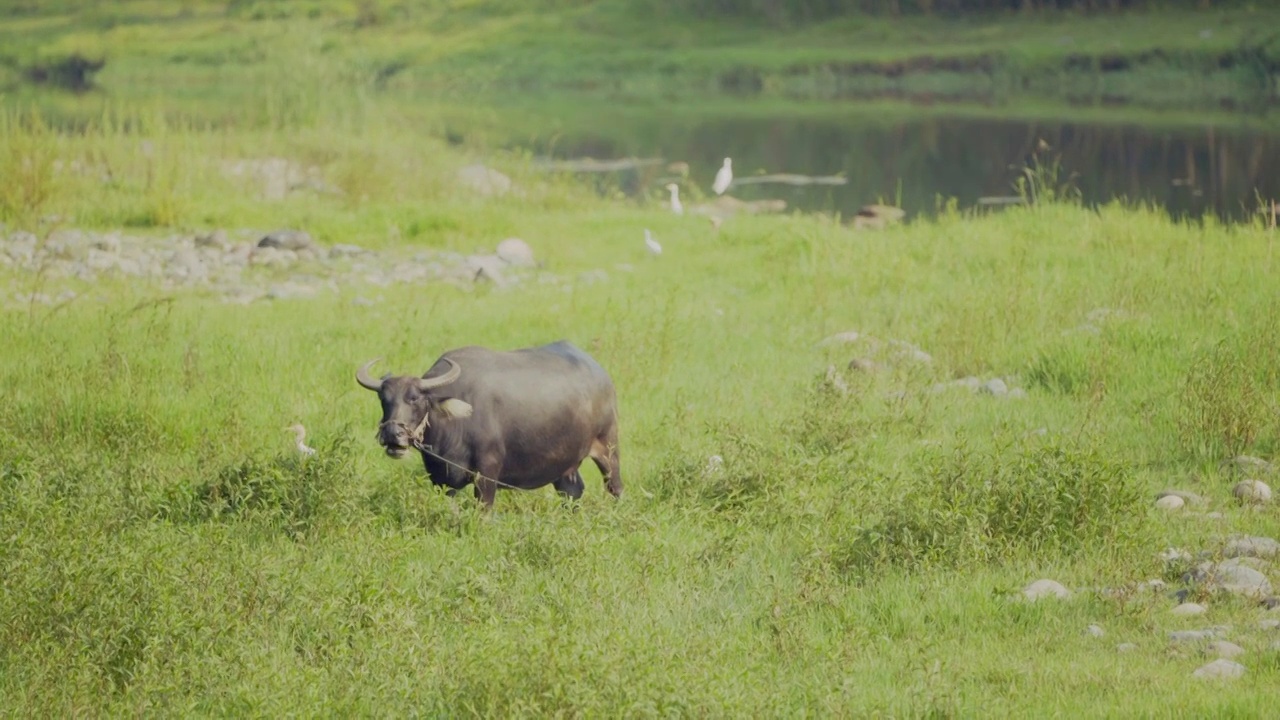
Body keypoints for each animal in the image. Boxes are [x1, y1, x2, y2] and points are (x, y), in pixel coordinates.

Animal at [355, 340, 624, 504]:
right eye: (384, 399)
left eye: (416, 399)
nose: (393, 434)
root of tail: (602, 376)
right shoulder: (440, 479)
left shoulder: (487, 473)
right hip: (563, 463)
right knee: (571, 492)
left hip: (608, 448)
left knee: (615, 487)